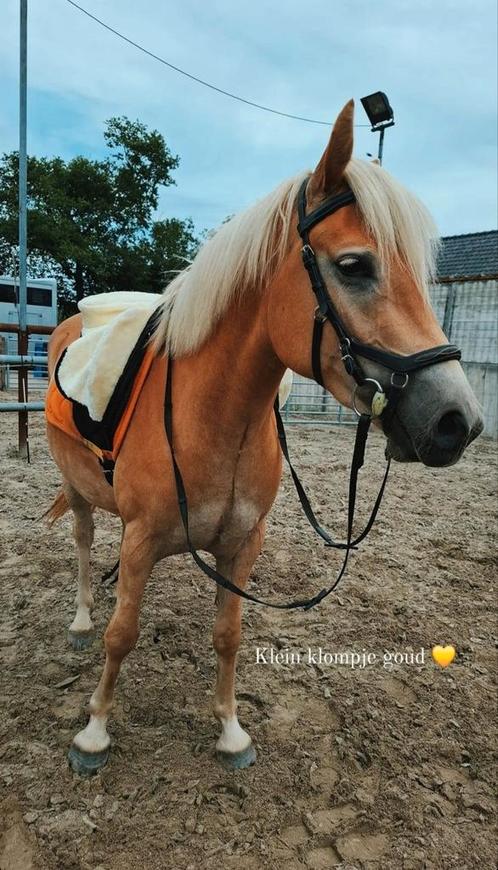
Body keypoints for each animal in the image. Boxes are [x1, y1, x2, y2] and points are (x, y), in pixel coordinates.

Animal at [45, 100, 482, 776]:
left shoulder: (242, 546)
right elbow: (123, 634)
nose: (456, 421)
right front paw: (93, 732)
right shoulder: (141, 539)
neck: (211, 418)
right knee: (87, 548)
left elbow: (228, 635)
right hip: (79, 491)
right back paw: (82, 618)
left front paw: (230, 732)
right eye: (354, 266)